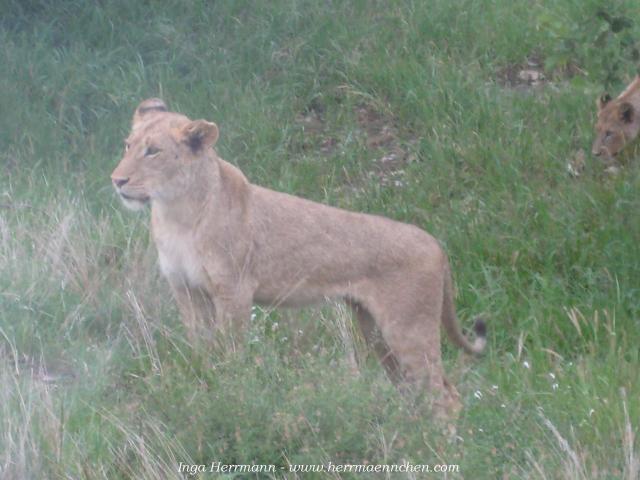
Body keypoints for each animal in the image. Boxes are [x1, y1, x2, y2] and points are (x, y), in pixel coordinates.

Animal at [112, 98, 488, 416]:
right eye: (128, 145)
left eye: (153, 151)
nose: (117, 180)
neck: (176, 213)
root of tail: (436, 244)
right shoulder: (186, 290)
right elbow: (201, 348)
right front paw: (205, 380)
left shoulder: (234, 291)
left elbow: (231, 350)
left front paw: (229, 389)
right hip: (377, 333)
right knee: (419, 390)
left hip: (407, 328)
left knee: (446, 396)